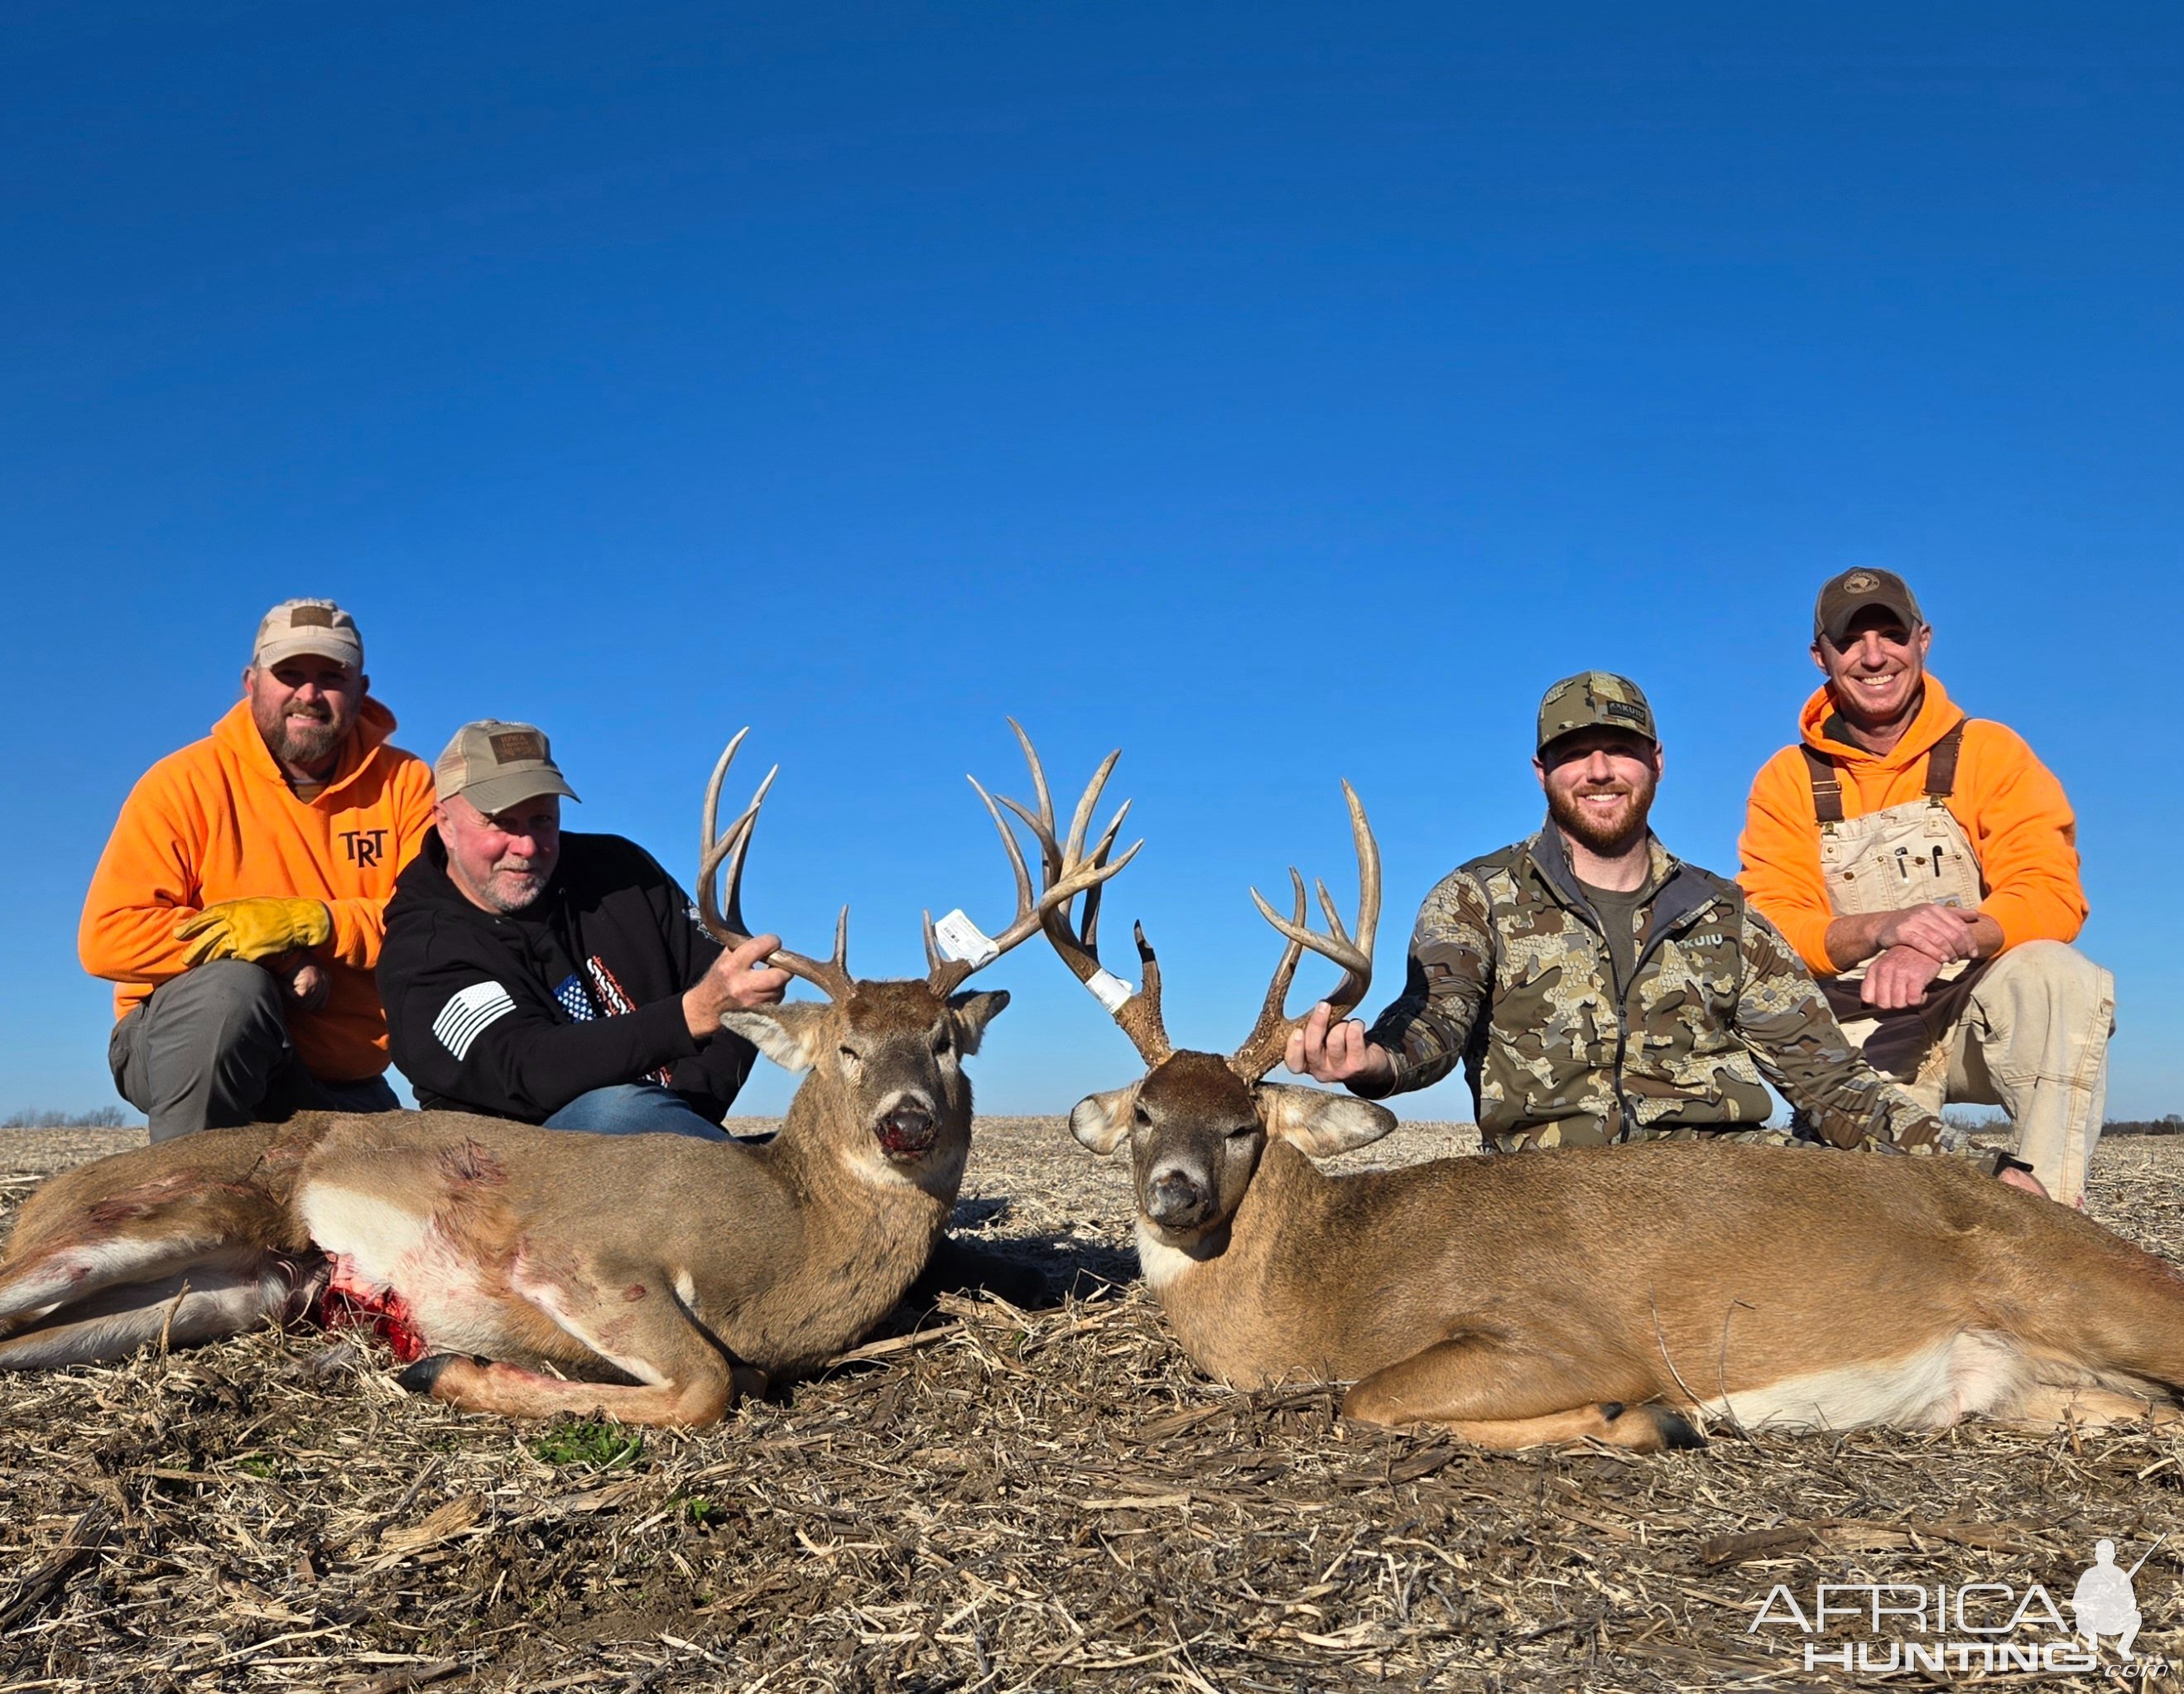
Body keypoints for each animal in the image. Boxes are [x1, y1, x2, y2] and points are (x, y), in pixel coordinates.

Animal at [0, 729, 1127, 1432]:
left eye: (944, 1042)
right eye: (845, 1049)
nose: (906, 1124)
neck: (787, 1237)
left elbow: (730, 1377)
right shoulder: (589, 1258)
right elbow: (710, 1384)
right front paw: (441, 1366)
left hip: (237, 1289)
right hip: (163, 1214)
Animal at [1000, 746, 2184, 1458]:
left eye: (1245, 1124)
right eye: (1143, 1112)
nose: (1174, 1192)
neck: (1328, 1286)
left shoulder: (1556, 1333)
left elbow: (1363, 1398)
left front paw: (1644, 1418)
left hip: (2089, 1293)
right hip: (2040, 1387)